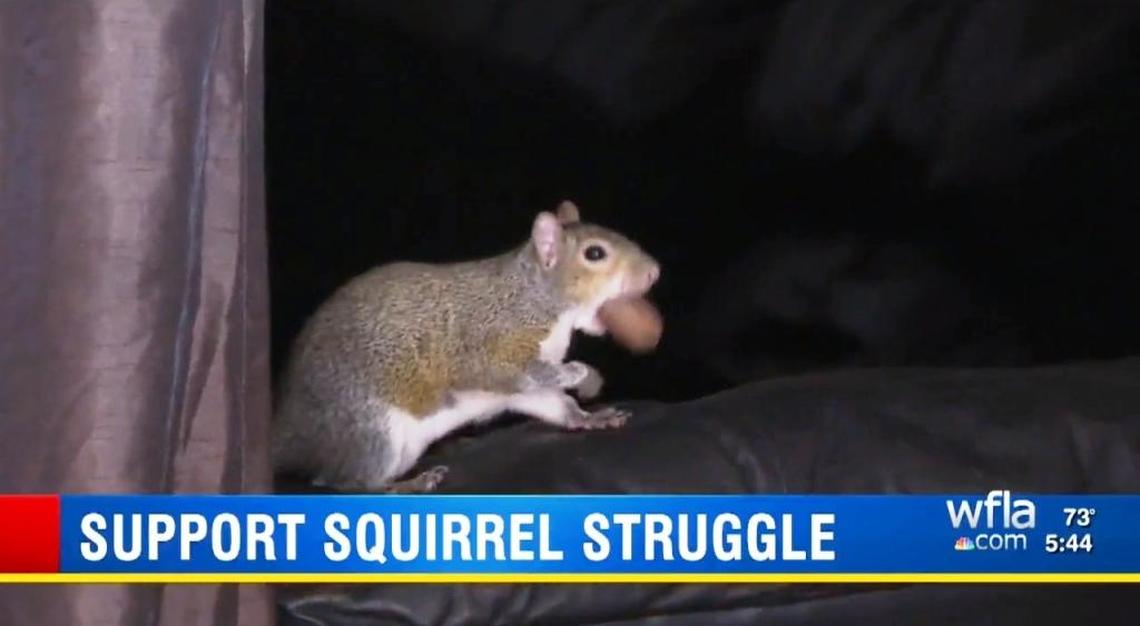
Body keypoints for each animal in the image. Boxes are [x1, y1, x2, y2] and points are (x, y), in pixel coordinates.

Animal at [272, 200, 661, 493]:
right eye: (594, 253)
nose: (654, 272)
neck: (533, 298)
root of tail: (294, 433)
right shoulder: (488, 348)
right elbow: (517, 372)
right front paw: (579, 372)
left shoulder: (521, 391)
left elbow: (553, 403)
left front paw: (590, 416)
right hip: (370, 430)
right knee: (346, 482)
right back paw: (407, 485)